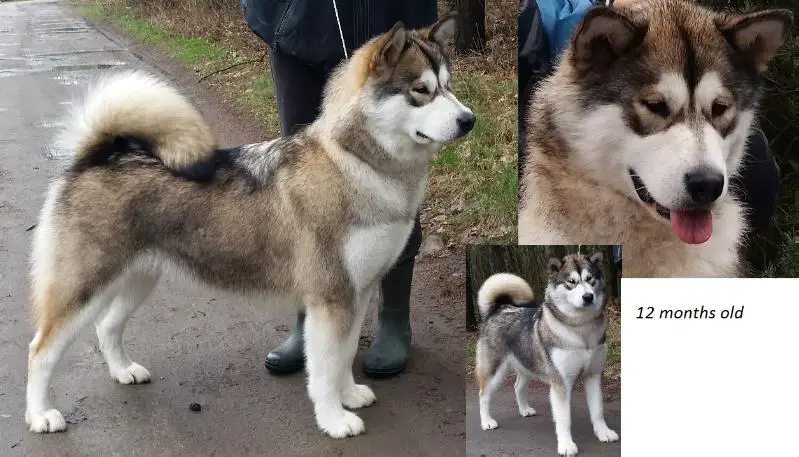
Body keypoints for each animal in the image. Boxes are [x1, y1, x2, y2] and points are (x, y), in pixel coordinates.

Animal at [25, 15, 476, 438]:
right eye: (421, 90)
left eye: (449, 86)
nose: (469, 120)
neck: (357, 163)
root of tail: (98, 156)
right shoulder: (331, 297)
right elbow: (325, 368)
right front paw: (333, 418)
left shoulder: (358, 291)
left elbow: (345, 354)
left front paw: (349, 394)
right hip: (83, 286)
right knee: (40, 351)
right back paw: (41, 414)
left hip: (139, 277)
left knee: (107, 326)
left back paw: (123, 371)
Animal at [476, 251, 620, 454]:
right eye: (571, 281)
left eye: (590, 279)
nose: (588, 297)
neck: (581, 329)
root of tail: (498, 309)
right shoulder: (561, 383)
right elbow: (564, 419)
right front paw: (566, 445)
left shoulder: (593, 375)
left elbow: (598, 411)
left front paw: (603, 433)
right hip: (494, 371)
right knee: (483, 395)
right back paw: (486, 421)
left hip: (528, 365)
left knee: (517, 386)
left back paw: (524, 409)